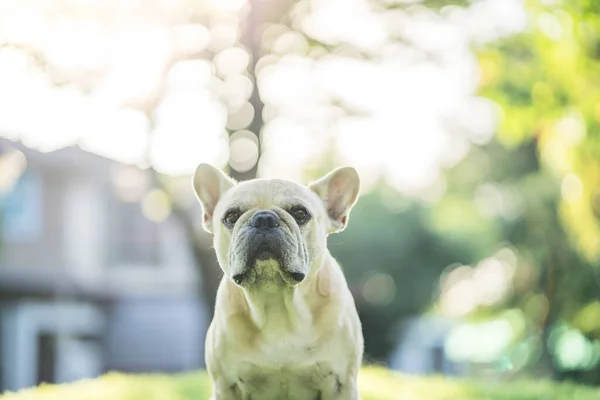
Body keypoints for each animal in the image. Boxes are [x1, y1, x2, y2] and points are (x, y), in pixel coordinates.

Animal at [192, 163, 364, 400]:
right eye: (231, 216)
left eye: (300, 213)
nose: (263, 219)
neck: (276, 302)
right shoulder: (226, 386)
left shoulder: (341, 383)